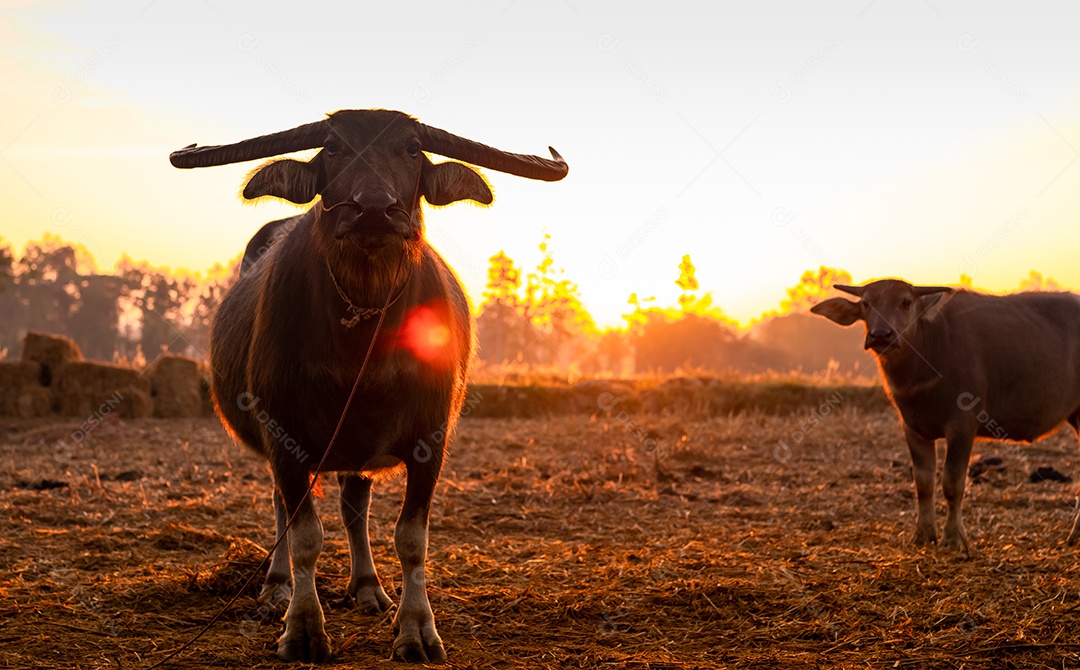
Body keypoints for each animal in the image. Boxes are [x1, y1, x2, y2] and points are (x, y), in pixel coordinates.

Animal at [812, 280, 1080, 553]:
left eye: (906, 302)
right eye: (867, 303)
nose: (880, 334)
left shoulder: (962, 427)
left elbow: (952, 483)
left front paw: (953, 538)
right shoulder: (913, 428)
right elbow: (923, 483)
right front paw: (923, 534)